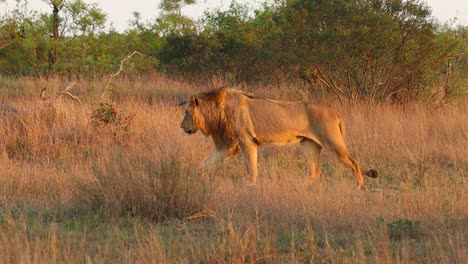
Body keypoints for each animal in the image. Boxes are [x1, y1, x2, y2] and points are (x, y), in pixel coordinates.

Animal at [179, 87, 376, 189]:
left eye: (186, 113)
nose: (181, 127)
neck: (216, 111)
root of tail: (335, 111)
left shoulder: (246, 141)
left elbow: (251, 167)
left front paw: (250, 185)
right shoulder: (226, 146)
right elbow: (203, 164)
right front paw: (193, 178)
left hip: (333, 143)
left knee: (353, 163)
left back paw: (360, 187)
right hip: (309, 145)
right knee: (315, 171)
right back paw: (299, 186)